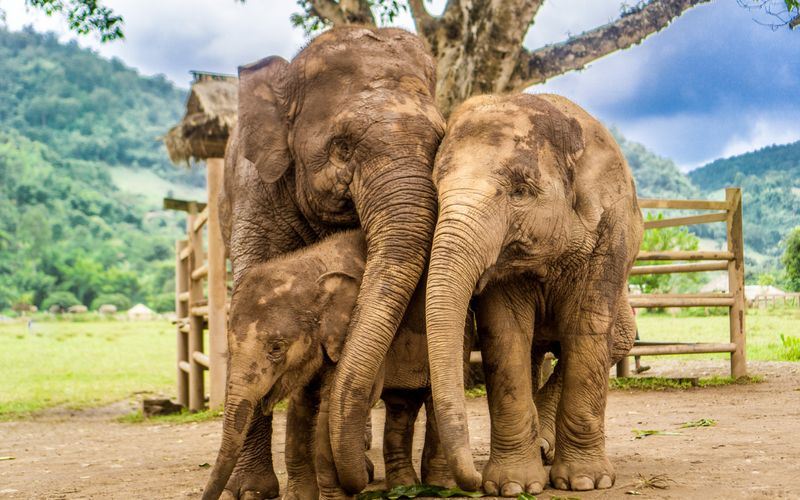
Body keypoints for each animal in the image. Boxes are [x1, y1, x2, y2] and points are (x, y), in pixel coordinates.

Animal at [202, 230, 469, 499]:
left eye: (276, 348)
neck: (312, 267)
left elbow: (330, 406)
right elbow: (300, 405)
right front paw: (297, 497)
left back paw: (440, 485)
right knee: (401, 404)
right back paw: (403, 484)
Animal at [423, 94, 644, 494]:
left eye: (520, 190)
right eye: (434, 189)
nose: (471, 480)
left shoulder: (610, 234)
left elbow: (586, 329)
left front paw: (586, 482)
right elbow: (504, 334)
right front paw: (513, 487)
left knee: (617, 340)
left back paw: (546, 448)